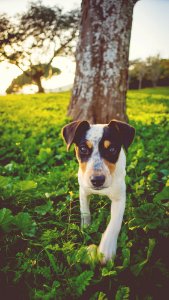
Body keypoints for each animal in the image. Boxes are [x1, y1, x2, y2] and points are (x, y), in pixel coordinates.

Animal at [61, 118, 135, 264]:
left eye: (112, 149)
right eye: (83, 149)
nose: (97, 180)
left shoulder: (119, 198)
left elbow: (114, 223)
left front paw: (106, 248)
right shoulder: (83, 190)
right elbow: (85, 211)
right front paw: (86, 228)